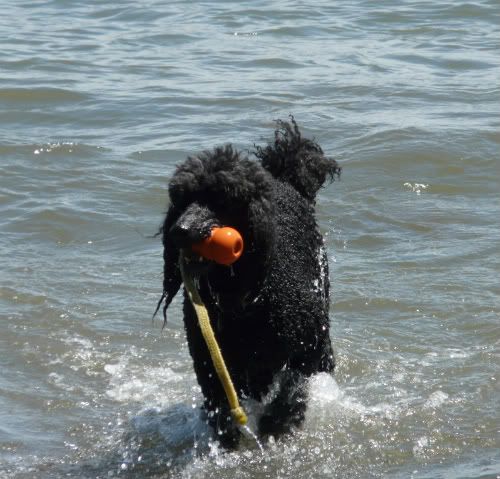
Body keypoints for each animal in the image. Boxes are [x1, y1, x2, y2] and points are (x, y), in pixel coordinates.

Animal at [156, 118, 341, 447]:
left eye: (221, 199)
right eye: (181, 199)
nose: (180, 230)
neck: (239, 296)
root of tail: (287, 181)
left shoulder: (304, 349)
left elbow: (293, 391)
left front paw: (277, 424)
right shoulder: (211, 362)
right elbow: (220, 404)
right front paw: (229, 436)